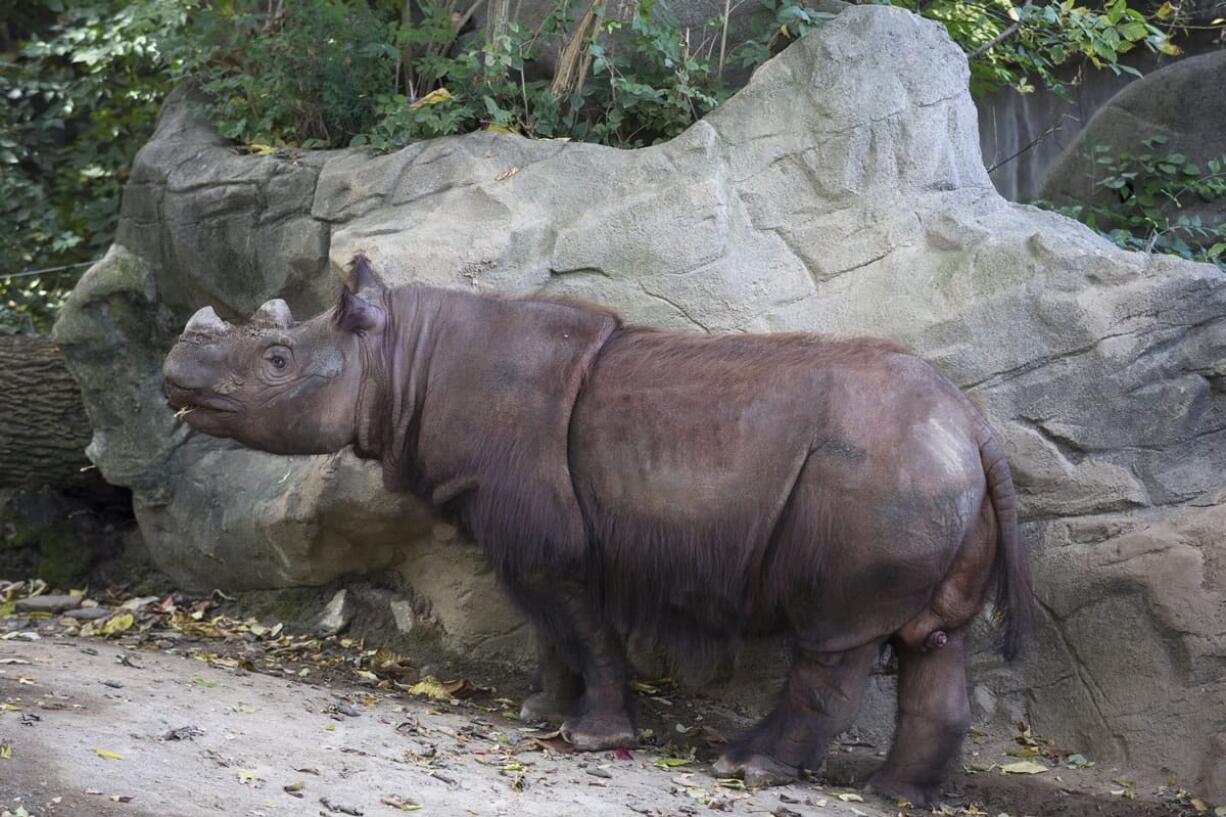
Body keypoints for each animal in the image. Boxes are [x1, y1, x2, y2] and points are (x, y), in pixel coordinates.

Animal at [165, 255, 1034, 799]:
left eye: (277, 360)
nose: (174, 378)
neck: (401, 357)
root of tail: (973, 424)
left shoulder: (551, 541)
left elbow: (580, 624)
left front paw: (591, 737)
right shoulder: (520, 530)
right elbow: (548, 627)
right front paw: (541, 712)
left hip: (879, 475)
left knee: (834, 636)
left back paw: (747, 768)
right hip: (925, 472)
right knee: (932, 639)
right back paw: (895, 793)